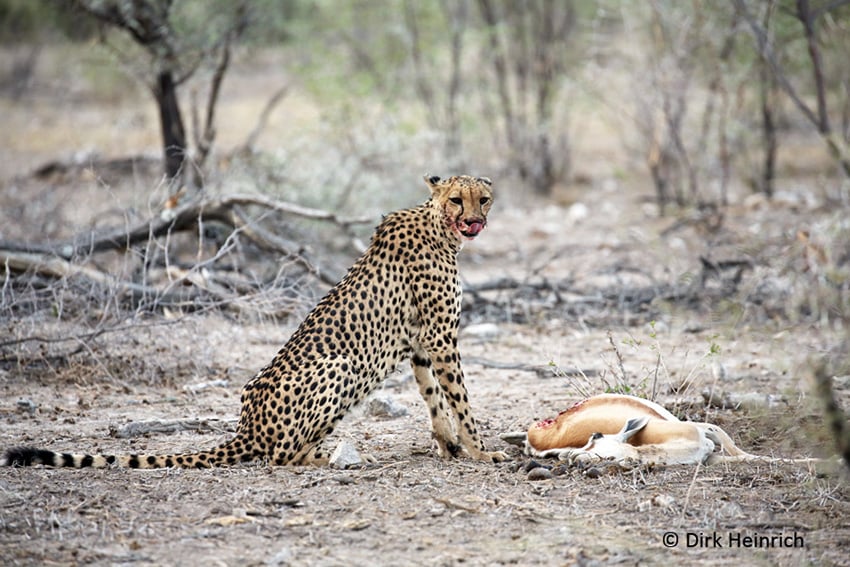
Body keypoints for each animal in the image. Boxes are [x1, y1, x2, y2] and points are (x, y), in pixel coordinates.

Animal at [3, 175, 506, 468]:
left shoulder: (422, 343)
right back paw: (331, 458)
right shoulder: (440, 338)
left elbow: (434, 400)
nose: (475, 221)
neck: (439, 226)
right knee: (281, 456)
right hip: (342, 366)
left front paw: (449, 447)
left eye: (483, 199)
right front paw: (481, 450)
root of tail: (246, 426)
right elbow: (460, 401)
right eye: (456, 200)